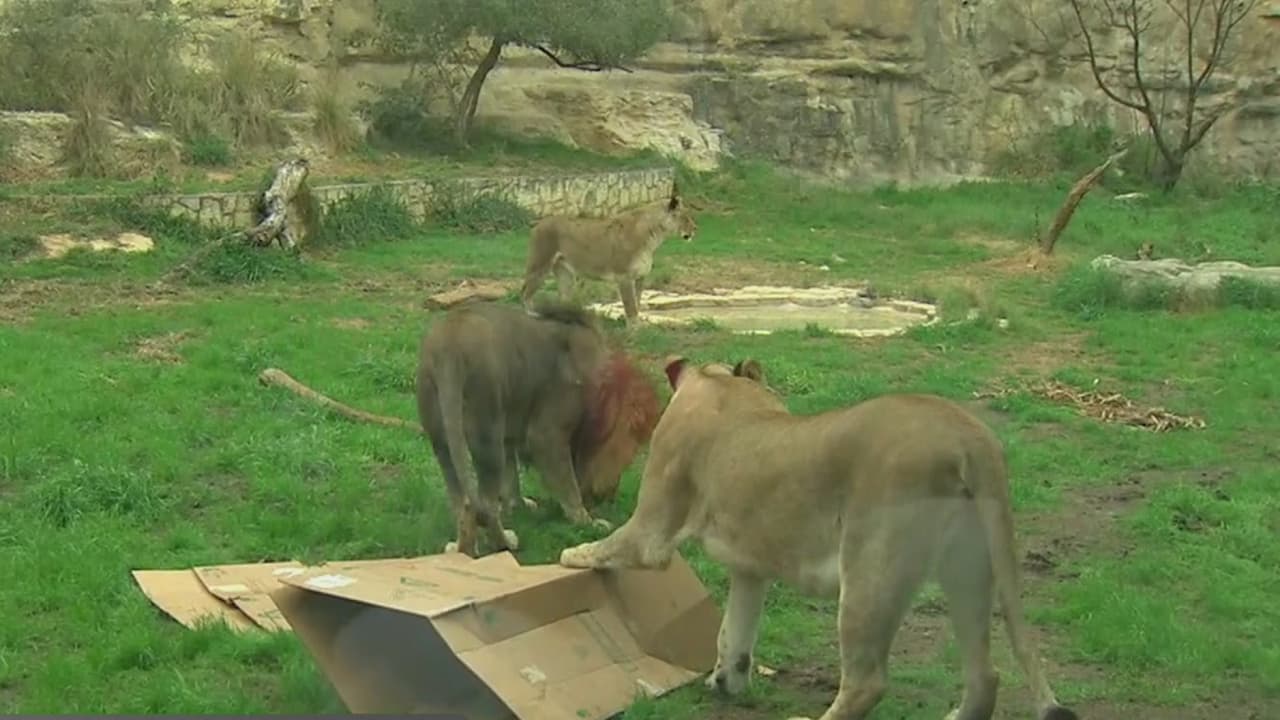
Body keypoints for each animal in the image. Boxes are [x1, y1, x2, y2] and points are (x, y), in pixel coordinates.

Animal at [415, 300, 661, 558]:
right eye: (626, 459)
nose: (611, 496)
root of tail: (449, 347)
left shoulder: (510, 428)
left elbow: (511, 476)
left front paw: (520, 505)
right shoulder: (546, 435)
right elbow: (569, 485)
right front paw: (587, 522)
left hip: (442, 437)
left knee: (463, 503)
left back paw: (462, 550)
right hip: (487, 427)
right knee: (487, 504)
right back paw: (505, 543)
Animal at [519, 180, 697, 325]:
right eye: (685, 217)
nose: (696, 229)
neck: (655, 238)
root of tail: (539, 222)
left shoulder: (640, 277)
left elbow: (638, 304)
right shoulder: (624, 277)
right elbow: (631, 308)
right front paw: (634, 332)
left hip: (565, 274)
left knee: (562, 297)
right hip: (540, 265)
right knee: (525, 292)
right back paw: (532, 315)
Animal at [559, 357, 1079, 720]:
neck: (726, 387)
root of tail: (969, 435)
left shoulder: (652, 529)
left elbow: (611, 547)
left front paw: (571, 553)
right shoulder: (750, 569)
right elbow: (735, 630)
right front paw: (727, 680)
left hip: (870, 570)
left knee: (867, 682)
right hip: (968, 569)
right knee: (985, 675)